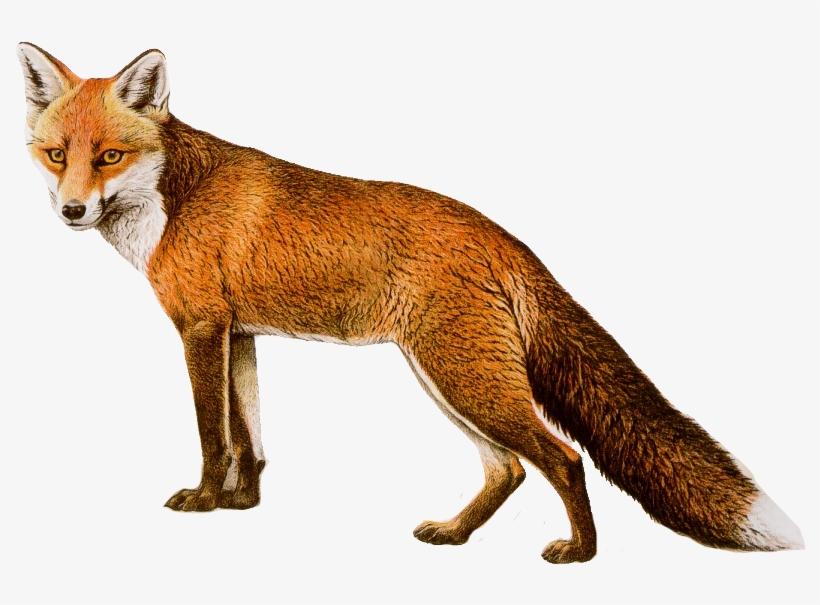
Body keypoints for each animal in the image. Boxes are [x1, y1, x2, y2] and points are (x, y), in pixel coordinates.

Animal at [17, 42, 804, 564]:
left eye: (110, 156)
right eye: (57, 154)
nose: (72, 211)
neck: (172, 201)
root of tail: (501, 235)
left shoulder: (200, 329)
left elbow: (215, 437)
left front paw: (207, 502)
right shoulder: (239, 334)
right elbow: (251, 438)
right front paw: (244, 504)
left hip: (463, 378)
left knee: (564, 457)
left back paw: (580, 553)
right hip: (446, 378)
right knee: (509, 469)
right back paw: (455, 534)